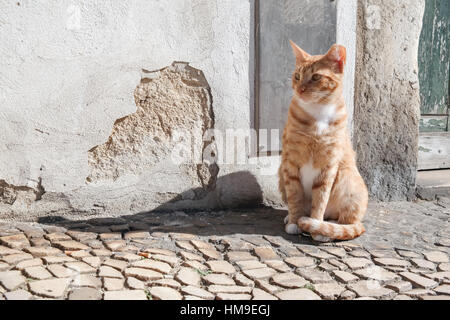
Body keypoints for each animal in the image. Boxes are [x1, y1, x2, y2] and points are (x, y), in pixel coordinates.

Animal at [278, 40, 370, 240]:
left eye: (315, 77)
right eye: (297, 76)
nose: (300, 89)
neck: (318, 113)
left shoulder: (329, 166)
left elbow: (320, 199)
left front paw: (316, 226)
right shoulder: (290, 163)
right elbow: (294, 196)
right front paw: (295, 222)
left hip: (347, 180)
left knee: (347, 221)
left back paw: (328, 228)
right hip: (280, 172)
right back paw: (291, 217)